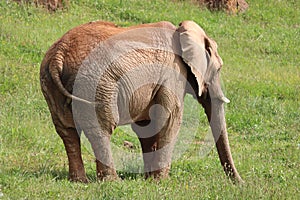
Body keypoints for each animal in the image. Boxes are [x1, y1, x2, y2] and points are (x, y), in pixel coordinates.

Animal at [39, 19, 243, 183]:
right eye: (219, 69)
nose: (241, 184)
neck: (181, 30)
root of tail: (59, 55)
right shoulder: (173, 73)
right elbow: (169, 121)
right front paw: (160, 183)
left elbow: (148, 126)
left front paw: (148, 180)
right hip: (98, 83)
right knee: (101, 128)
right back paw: (113, 182)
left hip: (50, 84)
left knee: (67, 130)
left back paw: (80, 181)